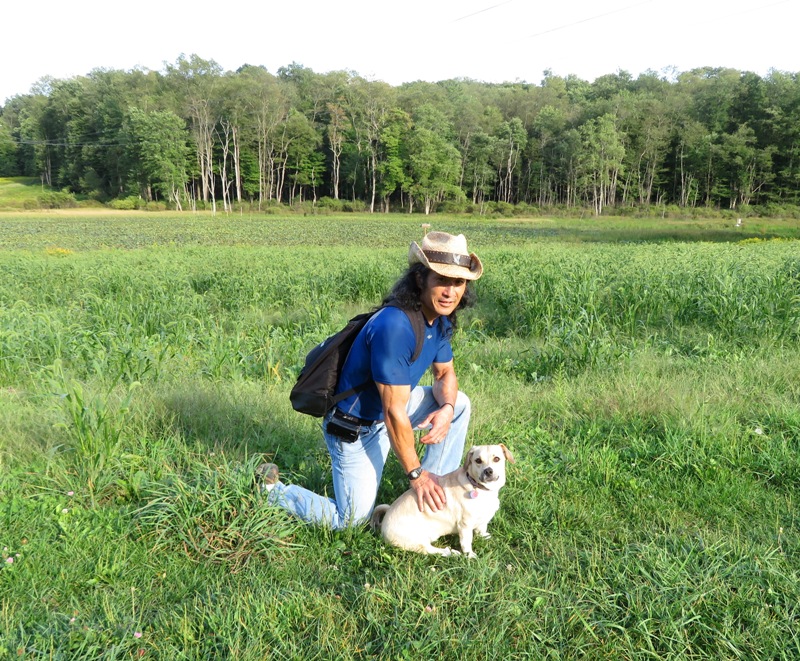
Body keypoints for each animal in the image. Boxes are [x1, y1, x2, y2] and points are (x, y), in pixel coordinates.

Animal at [372, 444, 516, 556]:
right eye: (478, 460)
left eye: (497, 459)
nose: (488, 471)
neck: (480, 488)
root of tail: (384, 522)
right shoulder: (465, 525)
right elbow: (466, 542)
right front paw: (470, 556)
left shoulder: (482, 521)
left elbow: (482, 530)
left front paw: (485, 537)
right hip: (416, 541)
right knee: (429, 550)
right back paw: (450, 552)